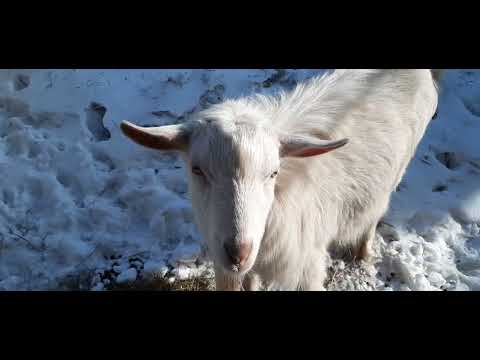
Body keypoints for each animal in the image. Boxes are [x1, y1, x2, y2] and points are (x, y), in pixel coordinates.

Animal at [121, 69, 442, 290]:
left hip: (398, 170)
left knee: (373, 215)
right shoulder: (229, 268)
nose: (238, 252)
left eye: (273, 172)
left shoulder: (303, 268)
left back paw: (363, 254)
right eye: (196, 169)